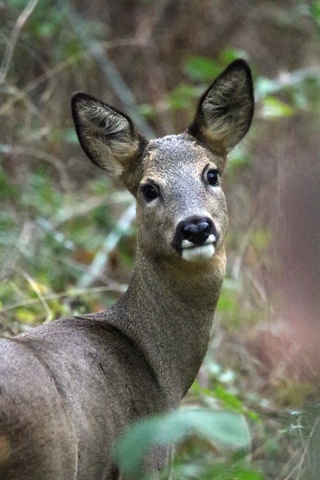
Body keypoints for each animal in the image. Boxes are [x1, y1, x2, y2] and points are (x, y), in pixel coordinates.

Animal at [0, 58, 255, 478]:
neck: (161, 371)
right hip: (49, 459)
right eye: (148, 189)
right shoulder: (146, 459)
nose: (195, 227)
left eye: (211, 173)